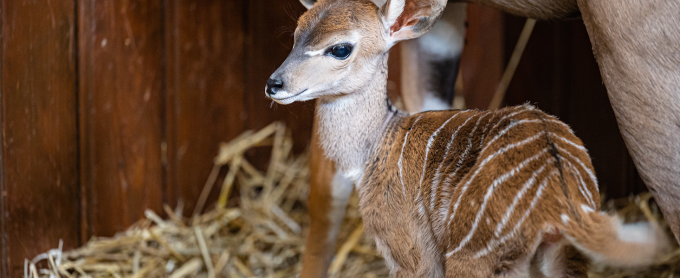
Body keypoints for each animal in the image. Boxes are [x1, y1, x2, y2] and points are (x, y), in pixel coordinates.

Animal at [264, 0, 664, 274]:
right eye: (297, 32)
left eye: (340, 48)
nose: (274, 84)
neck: (378, 142)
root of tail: (560, 200)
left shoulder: (410, 251)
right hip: (560, 256)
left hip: (477, 254)